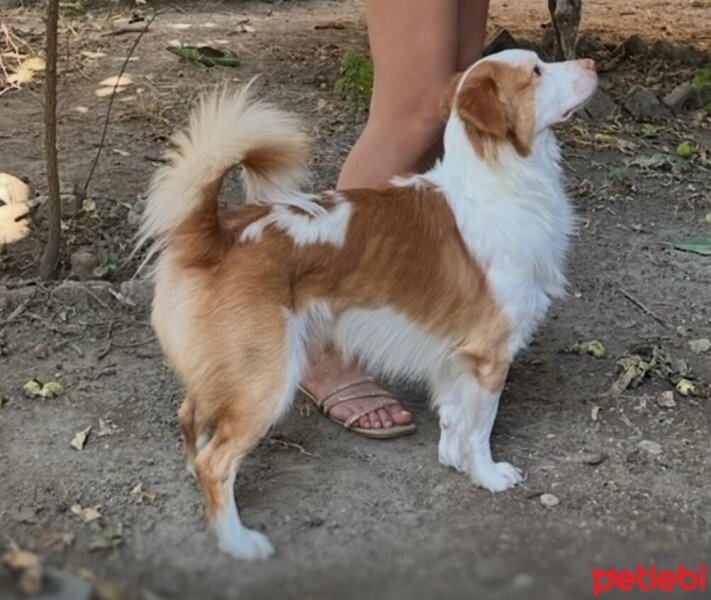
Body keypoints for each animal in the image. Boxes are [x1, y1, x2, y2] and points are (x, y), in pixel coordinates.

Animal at [140, 49, 600, 560]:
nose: (591, 62)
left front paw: (453, 460)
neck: (497, 182)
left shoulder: (453, 354)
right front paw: (487, 475)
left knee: (190, 418)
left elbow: (454, 417)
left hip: (227, 370)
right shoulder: (488, 355)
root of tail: (216, 234)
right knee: (215, 463)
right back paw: (239, 542)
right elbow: (481, 425)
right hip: (265, 378)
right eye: (536, 72)